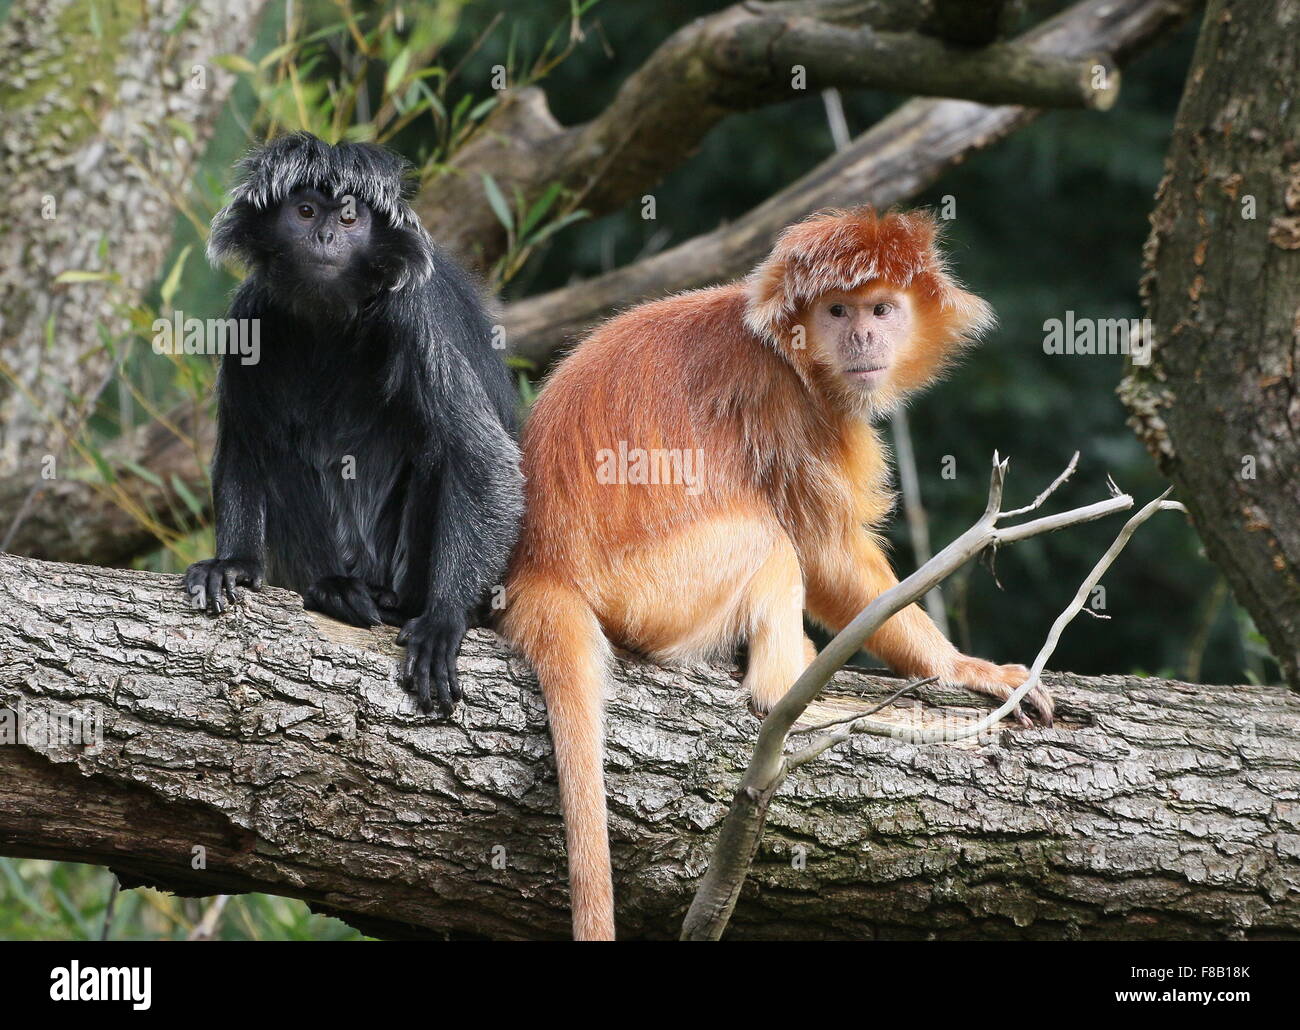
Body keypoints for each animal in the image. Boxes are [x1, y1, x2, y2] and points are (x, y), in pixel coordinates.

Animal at [188, 132, 522, 712]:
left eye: (348, 219)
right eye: (304, 212)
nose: (324, 235)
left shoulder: (415, 307)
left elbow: (482, 458)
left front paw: (443, 620)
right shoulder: (252, 312)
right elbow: (245, 445)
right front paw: (233, 562)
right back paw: (334, 590)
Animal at [501, 205, 1050, 936]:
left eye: (881, 308)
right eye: (838, 311)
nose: (864, 333)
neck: (788, 351)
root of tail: (544, 567)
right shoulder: (790, 407)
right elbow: (825, 555)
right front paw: (962, 667)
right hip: (654, 588)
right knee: (774, 548)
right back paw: (797, 696)